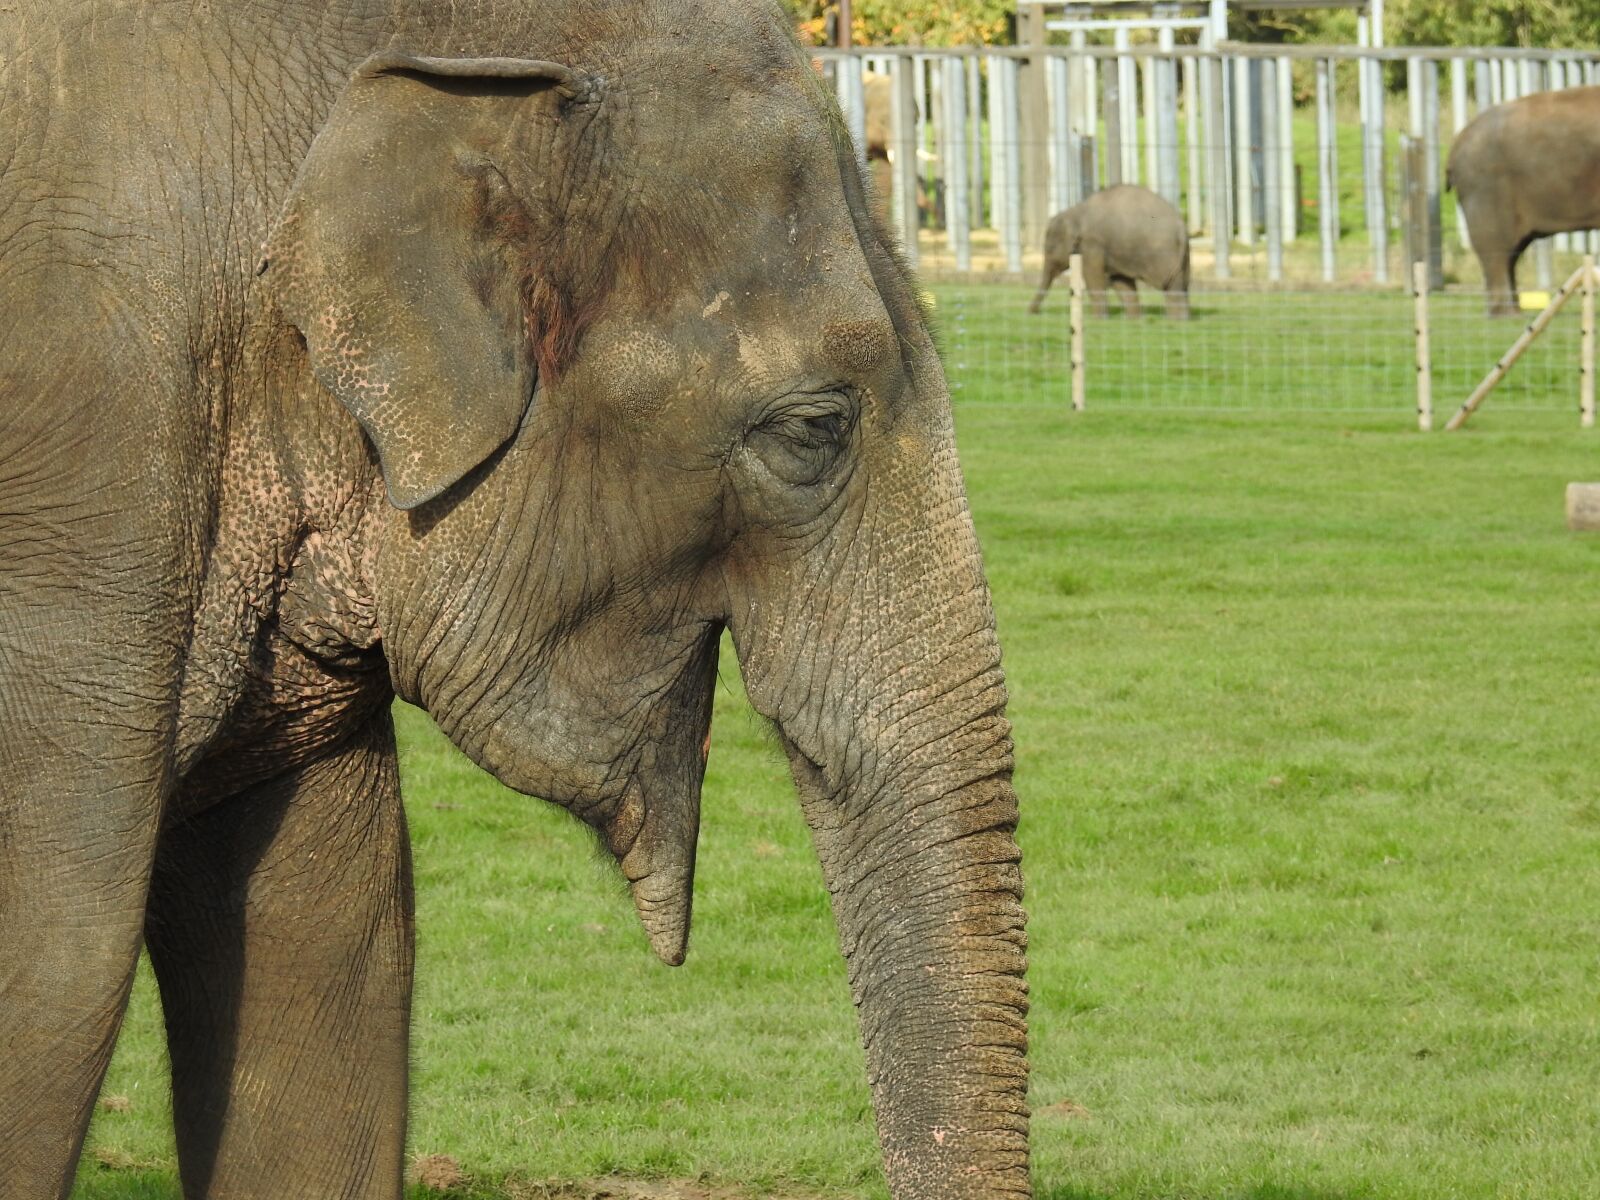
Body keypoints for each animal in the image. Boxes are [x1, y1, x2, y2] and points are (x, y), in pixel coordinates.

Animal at [1028, 184, 1191, 320]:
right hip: (1184, 256)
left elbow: (1094, 278)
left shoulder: (1092, 244)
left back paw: (1176, 322)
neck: (1075, 212)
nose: (1032, 313)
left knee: (1171, 287)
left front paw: (1098, 320)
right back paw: (1181, 321)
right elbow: (1121, 282)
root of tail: (1180, 225)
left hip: (1162, 252)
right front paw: (1134, 321)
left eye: (1050, 249)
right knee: (1182, 284)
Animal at [1448, 85, 1600, 317]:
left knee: (1511, 253)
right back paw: (1505, 316)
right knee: (1496, 250)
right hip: (1487, 189)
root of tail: (1457, 141)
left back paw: (1514, 313)